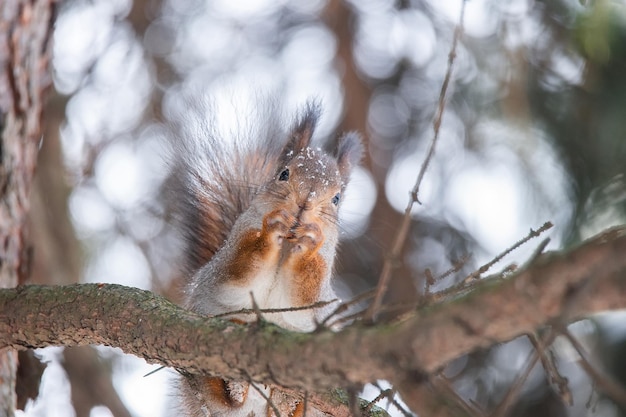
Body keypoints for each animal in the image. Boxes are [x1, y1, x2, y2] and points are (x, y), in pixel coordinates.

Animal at [168, 101, 364, 416]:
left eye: (336, 198)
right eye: (284, 173)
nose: (304, 202)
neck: (285, 251)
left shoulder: (319, 292)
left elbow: (305, 299)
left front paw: (309, 241)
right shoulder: (226, 265)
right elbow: (238, 273)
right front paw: (270, 231)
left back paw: (288, 402)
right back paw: (234, 387)